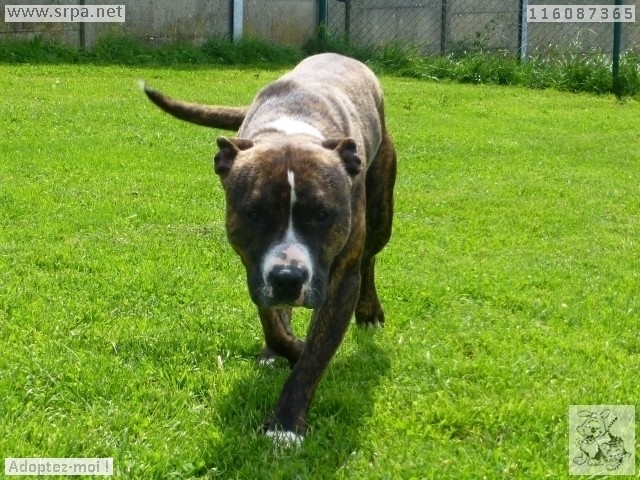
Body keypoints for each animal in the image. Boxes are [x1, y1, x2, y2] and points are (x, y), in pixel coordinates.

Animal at [142, 53, 398, 446]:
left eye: (322, 215)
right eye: (255, 214)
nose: (288, 278)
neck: (293, 131)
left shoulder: (339, 279)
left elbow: (316, 355)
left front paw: (285, 423)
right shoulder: (253, 266)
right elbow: (274, 325)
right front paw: (288, 348)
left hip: (381, 212)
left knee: (370, 257)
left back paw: (369, 311)